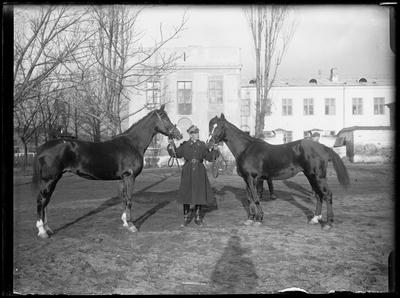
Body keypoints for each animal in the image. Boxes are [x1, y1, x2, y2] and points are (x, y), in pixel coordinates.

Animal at [32, 103, 183, 239]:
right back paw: (42, 231)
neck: (133, 144)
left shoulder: (122, 178)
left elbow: (124, 199)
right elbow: (129, 200)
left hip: (54, 179)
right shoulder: (130, 177)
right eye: (164, 117)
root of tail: (41, 148)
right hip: (49, 179)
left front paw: (125, 222)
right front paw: (132, 225)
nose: (179, 134)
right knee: (41, 201)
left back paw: (48, 228)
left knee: (46, 201)